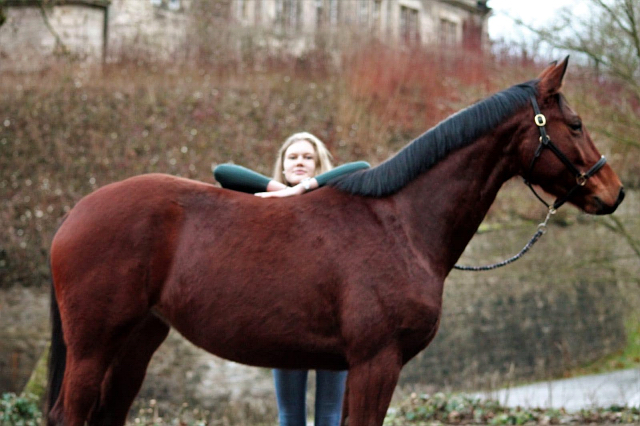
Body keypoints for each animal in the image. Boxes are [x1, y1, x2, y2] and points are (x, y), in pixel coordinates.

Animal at [46, 57, 624, 426]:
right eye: (575, 123)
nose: (614, 190)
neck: (401, 225)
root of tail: (74, 214)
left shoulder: (354, 370)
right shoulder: (377, 362)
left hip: (138, 340)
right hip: (94, 345)